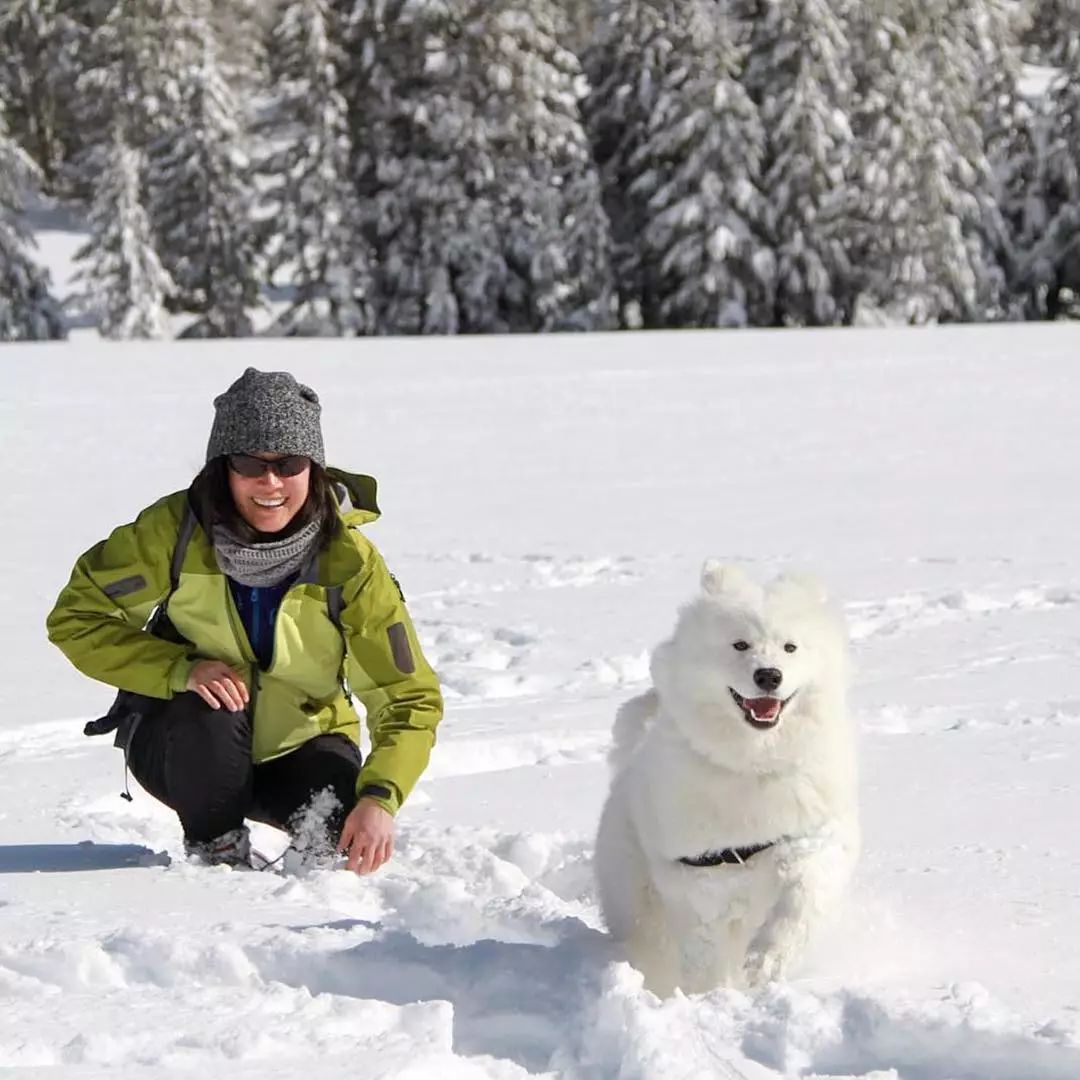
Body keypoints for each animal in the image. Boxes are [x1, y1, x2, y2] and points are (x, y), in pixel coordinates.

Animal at [596, 565, 855, 993]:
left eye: (790, 647)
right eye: (740, 645)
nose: (768, 675)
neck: (753, 763)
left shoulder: (810, 841)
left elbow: (798, 903)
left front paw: (764, 963)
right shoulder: (698, 882)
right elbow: (705, 957)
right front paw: (716, 997)